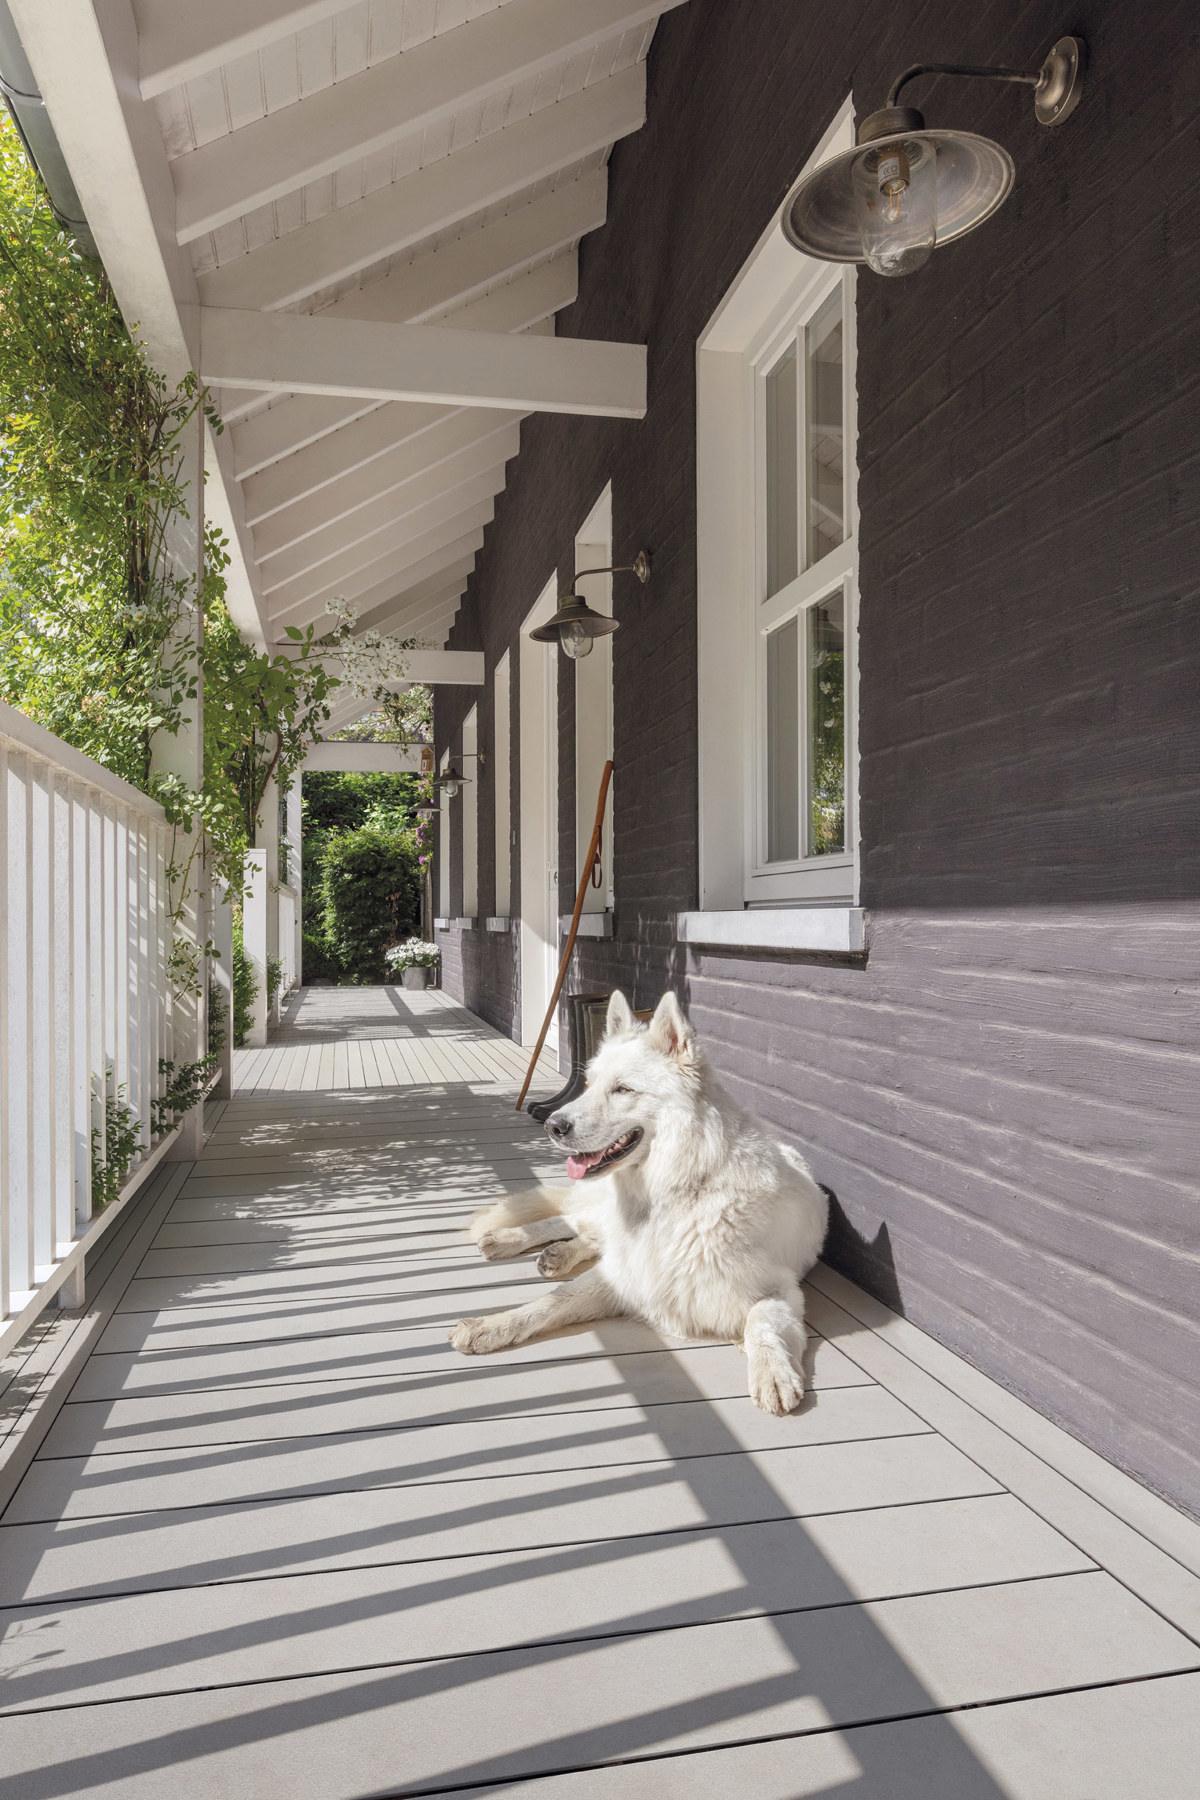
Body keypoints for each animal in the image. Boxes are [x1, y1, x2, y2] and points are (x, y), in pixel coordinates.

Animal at [446, 993, 831, 1411]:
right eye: (589, 1085)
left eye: (622, 1090)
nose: (553, 1126)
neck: (676, 1189)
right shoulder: (624, 1275)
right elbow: (551, 1301)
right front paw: (492, 1325)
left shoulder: (779, 1291)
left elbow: (762, 1323)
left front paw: (771, 1372)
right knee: (570, 1220)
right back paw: (509, 1240)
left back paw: (557, 1253)